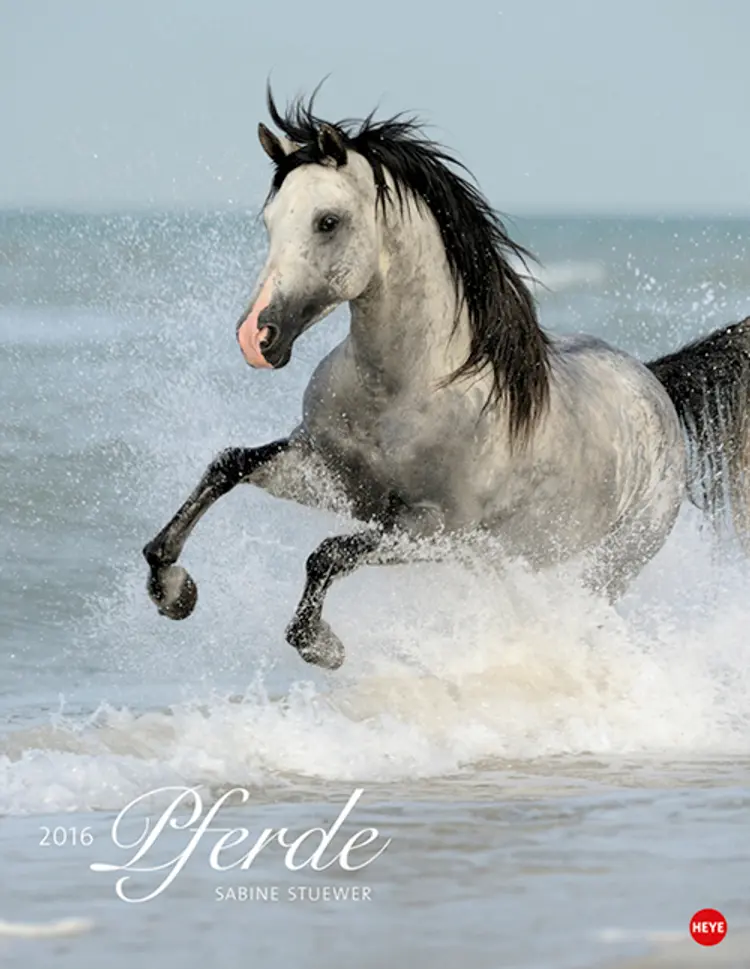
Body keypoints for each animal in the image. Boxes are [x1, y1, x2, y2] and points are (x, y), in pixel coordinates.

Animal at [142, 88, 750, 670]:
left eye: (327, 221)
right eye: (270, 222)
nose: (256, 336)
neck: (404, 392)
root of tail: (653, 383)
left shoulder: (433, 527)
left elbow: (328, 553)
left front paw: (322, 646)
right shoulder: (328, 475)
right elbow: (228, 465)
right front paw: (172, 590)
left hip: (606, 566)